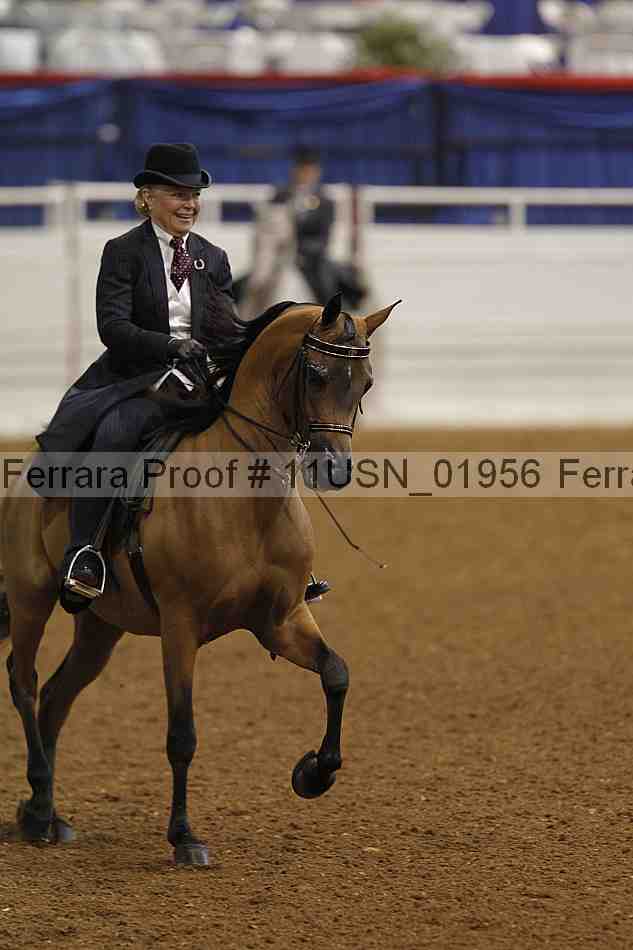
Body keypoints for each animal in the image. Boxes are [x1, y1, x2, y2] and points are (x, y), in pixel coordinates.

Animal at [0, 293, 398, 866]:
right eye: (317, 374)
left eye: (364, 382)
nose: (334, 469)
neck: (247, 495)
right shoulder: (181, 627)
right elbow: (182, 735)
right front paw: (185, 837)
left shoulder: (281, 619)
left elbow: (336, 673)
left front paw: (313, 774)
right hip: (31, 599)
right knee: (25, 683)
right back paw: (35, 812)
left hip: (100, 627)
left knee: (55, 697)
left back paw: (46, 810)